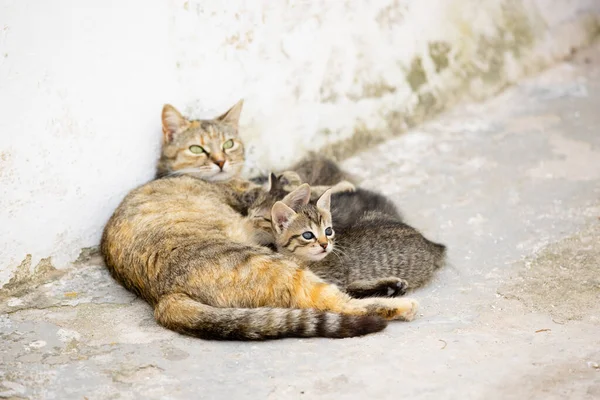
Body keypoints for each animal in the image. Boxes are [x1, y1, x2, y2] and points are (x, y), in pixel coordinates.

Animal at [99, 101, 418, 340]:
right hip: (275, 265)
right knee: (336, 302)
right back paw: (398, 304)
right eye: (197, 149)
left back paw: (389, 286)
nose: (220, 161)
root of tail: (163, 297)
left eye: (229, 144)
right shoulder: (251, 195)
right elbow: (296, 191)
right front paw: (333, 186)